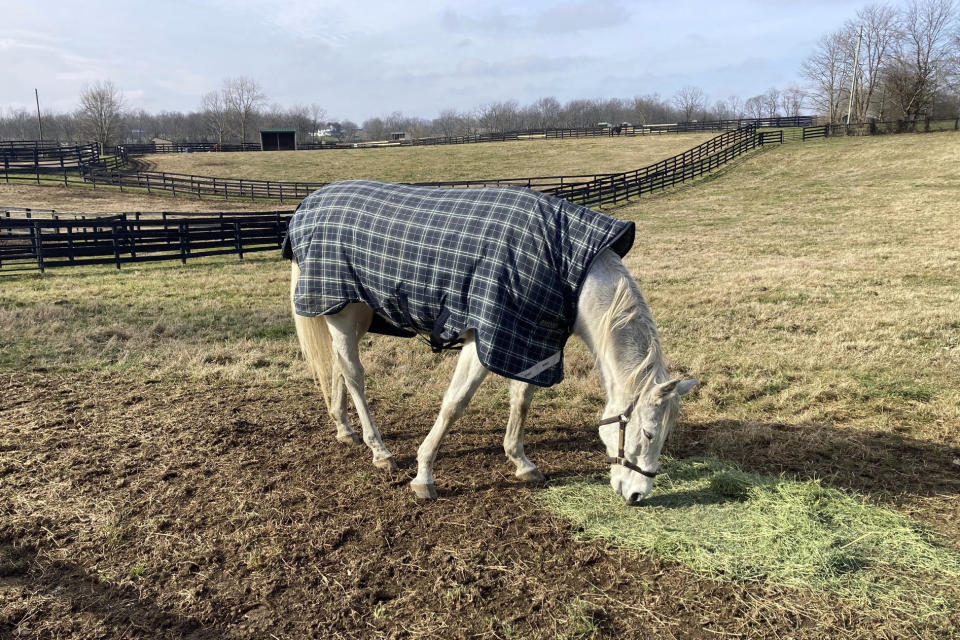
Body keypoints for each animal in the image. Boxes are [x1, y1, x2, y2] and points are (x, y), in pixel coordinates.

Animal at [288, 248, 692, 502]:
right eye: (649, 433)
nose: (638, 495)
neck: (567, 272)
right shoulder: (484, 339)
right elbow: (455, 404)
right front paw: (424, 475)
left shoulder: (527, 343)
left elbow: (522, 400)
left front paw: (521, 462)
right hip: (342, 316)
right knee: (354, 377)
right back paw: (379, 450)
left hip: (356, 316)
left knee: (339, 371)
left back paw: (344, 429)